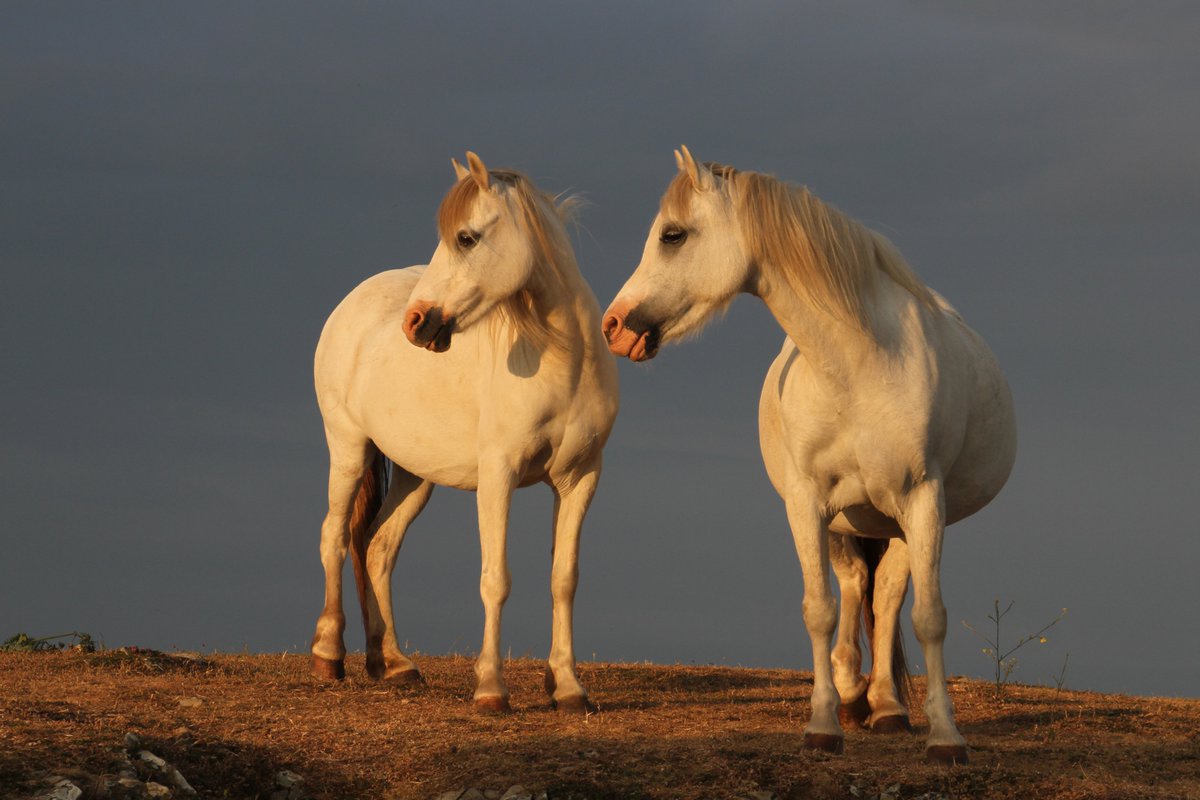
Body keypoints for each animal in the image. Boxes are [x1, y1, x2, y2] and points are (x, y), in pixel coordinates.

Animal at [309, 152, 619, 714]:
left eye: (467, 238)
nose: (416, 322)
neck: (566, 363)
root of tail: (351, 304)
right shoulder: (498, 476)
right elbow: (495, 579)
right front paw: (491, 688)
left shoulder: (580, 478)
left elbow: (563, 579)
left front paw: (567, 686)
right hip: (348, 448)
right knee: (334, 536)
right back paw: (328, 655)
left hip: (414, 475)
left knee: (377, 547)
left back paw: (394, 663)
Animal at [603, 147, 1016, 764]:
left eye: (672, 235)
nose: (612, 325)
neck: (858, 366)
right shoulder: (807, 504)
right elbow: (820, 609)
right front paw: (823, 725)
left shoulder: (923, 499)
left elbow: (927, 617)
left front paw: (946, 736)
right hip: (849, 523)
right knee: (856, 588)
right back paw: (853, 694)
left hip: (897, 520)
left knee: (886, 597)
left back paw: (888, 706)